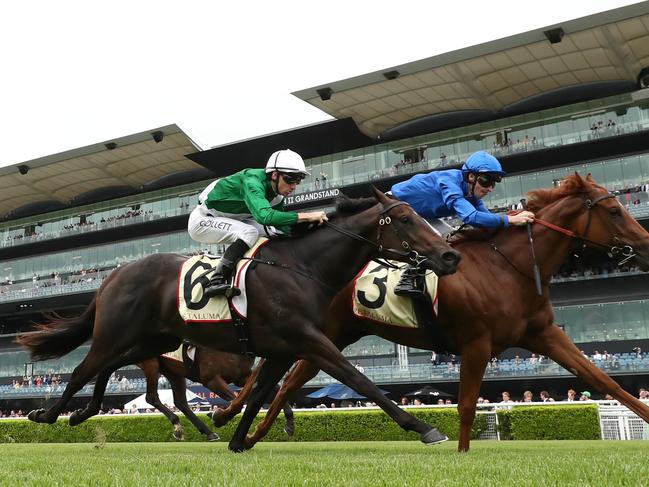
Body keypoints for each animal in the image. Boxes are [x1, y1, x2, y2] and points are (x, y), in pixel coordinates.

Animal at [137, 346, 294, 442]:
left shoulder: (241, 376)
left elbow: (276, 390)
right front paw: (219, 415)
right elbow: (237, 401)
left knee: (180, 402)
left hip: (173, 370)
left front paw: (289, 423)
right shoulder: (212, 380)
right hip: (151, 363)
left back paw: (204, 432)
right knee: (152, 397)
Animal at [215, 173, 648, 452]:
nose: (646, 243)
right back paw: (236, 423)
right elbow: (467, 405)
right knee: (281, 380)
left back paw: (248, 434)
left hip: (331, 336)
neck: (509, 266)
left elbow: (606, 382)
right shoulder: (477, 343)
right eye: (613, 211)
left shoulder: (545, 335)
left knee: (287, 382)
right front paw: (460, 454)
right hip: (322, 335)